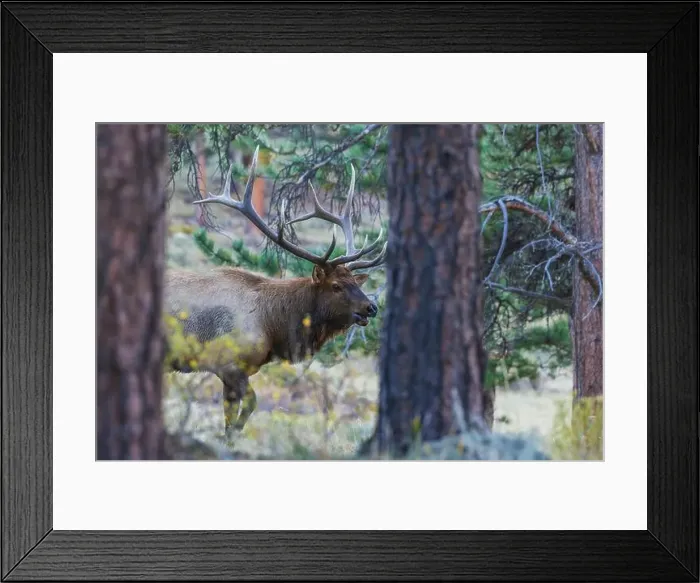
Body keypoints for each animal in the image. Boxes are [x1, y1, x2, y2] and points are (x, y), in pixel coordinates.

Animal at [164, 147, 387, 441]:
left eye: (355, 282)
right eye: (336, 286)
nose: (371, 307)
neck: (272, 325)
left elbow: (231, 418)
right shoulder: (228, 365)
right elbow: (249, 405)